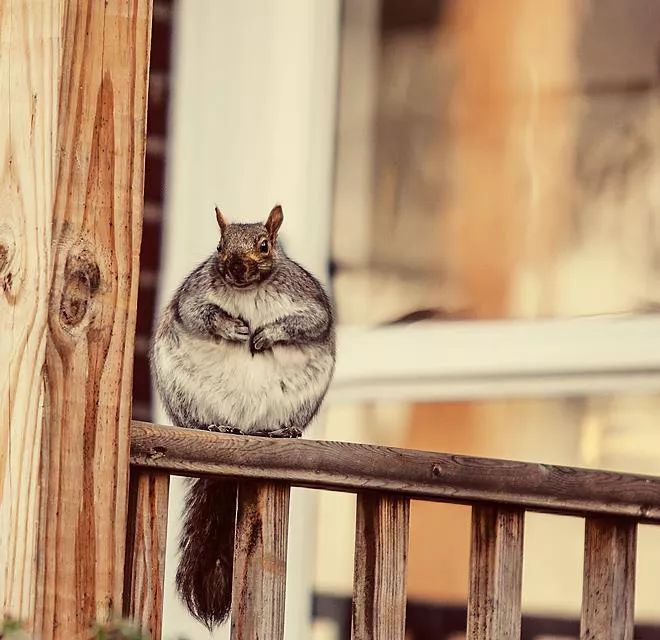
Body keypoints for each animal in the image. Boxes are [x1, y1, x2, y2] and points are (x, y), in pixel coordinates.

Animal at [150, 205, 336, 632]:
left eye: (264, 245)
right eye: (219, 245)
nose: (235, 267)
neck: (249, 291)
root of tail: (244, 427)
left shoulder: (308, 299)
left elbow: (309, 322)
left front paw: (266, 334)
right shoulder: (194, 294)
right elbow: (197, 313)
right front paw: (232, 327)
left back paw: (281, 430)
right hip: (183, 392)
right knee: (202, 420)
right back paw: (214, 425)